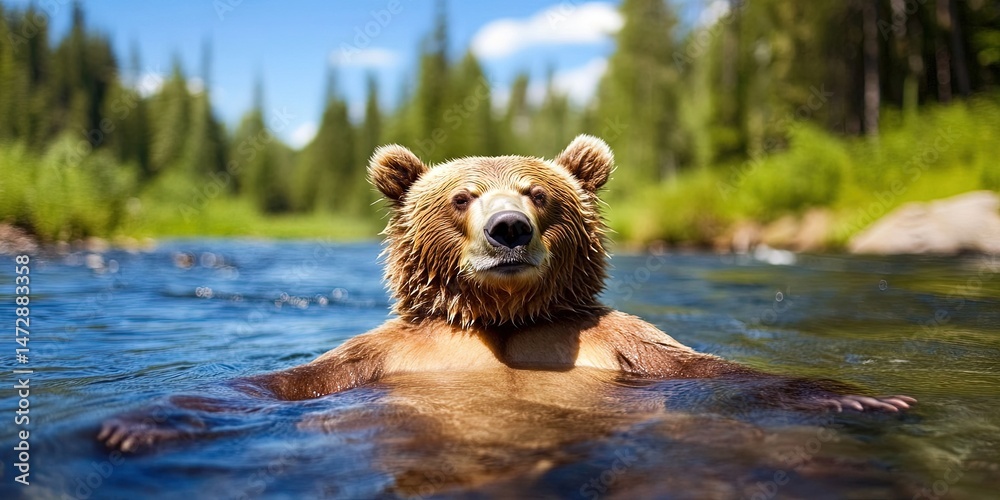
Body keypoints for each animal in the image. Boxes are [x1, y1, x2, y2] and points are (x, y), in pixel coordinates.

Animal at [99, 135, 914, 452]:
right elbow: (283, 384)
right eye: (462, 197)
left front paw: (861, 397)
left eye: (537, 194)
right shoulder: (385, 352)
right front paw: (136, 425)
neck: (503, 322)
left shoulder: (614, 338)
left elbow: (711, 373)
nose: (510, 230)